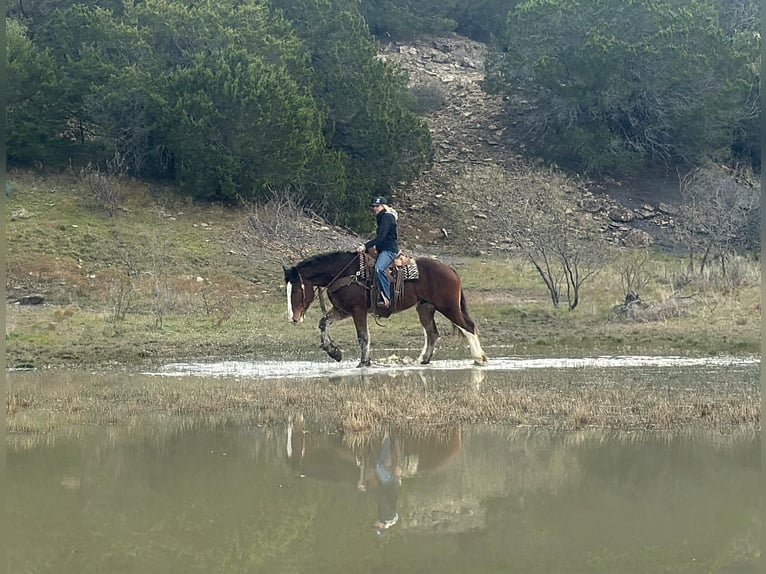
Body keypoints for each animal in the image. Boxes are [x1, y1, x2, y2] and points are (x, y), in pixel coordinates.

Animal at [283, 250, 488, 367]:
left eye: (298, 289)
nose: (293, 318)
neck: (345, 273)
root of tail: (450, 269)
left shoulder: (357, 310)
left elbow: (363, 336)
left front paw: (363, 362)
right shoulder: (343, 310)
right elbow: (323, 323)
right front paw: (334, 352)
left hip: (448, 306)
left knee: (468, 327)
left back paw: (479, 358)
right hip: (425, 308)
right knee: (432, 333)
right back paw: (424, 359)